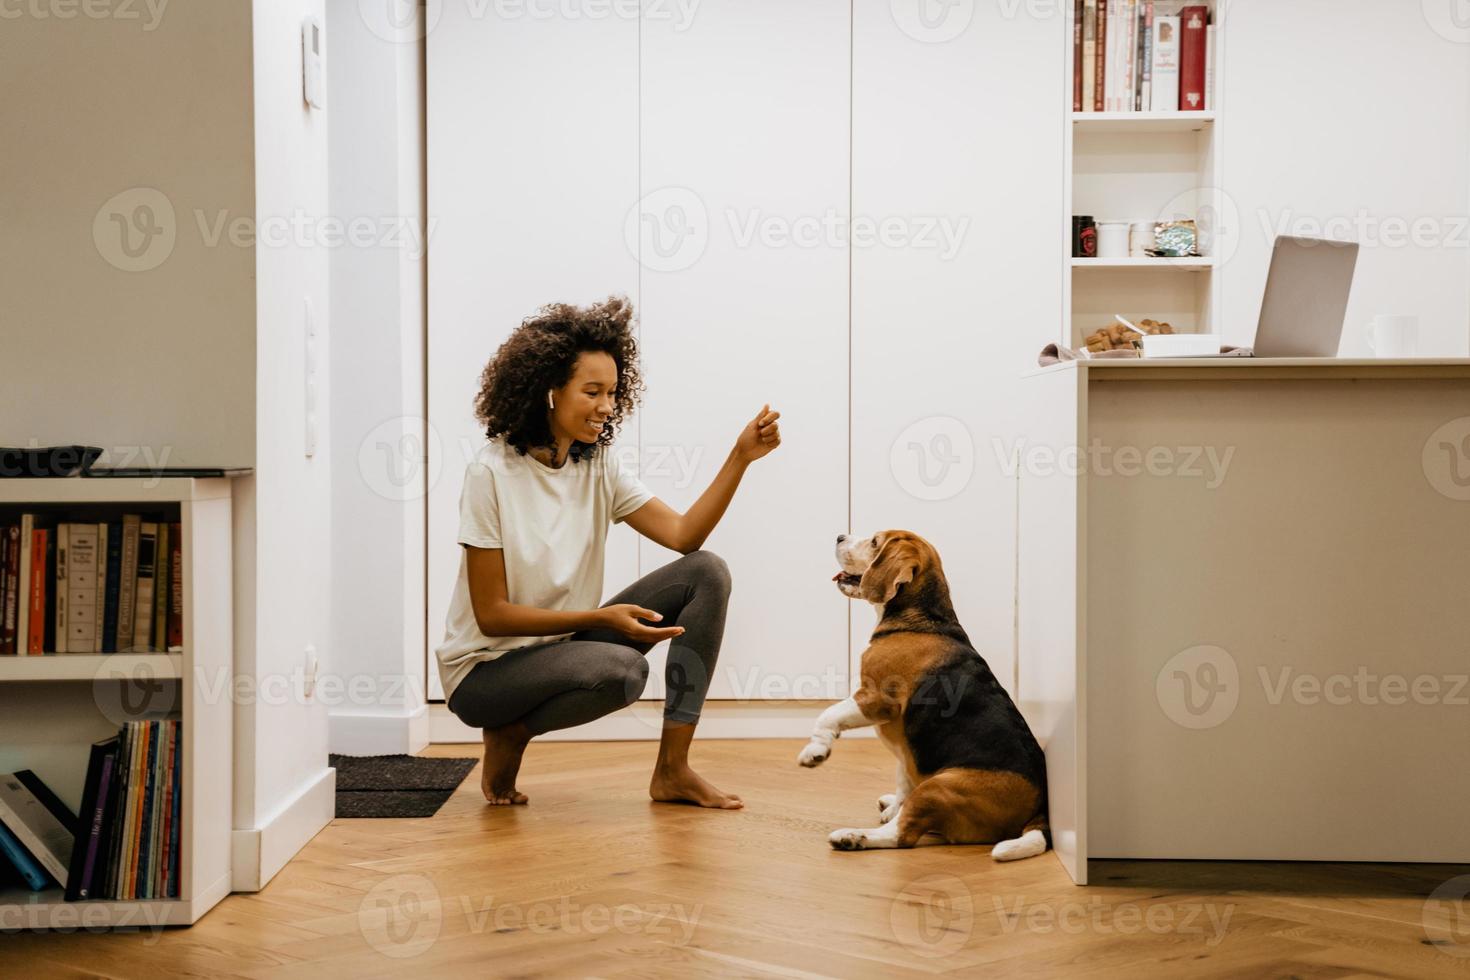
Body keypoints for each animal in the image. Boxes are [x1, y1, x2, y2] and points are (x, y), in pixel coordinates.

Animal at [805, 528, 1046, 858]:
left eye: (875, 543)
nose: (840, 536)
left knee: (903, 835)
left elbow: (828, 714)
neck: (923, 620)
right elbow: (902, 778)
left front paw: (815, 750)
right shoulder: (904, 750)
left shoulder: (875, 699)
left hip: (939, 786)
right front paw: (893, 804)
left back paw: (853, 836)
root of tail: (1038, 809)